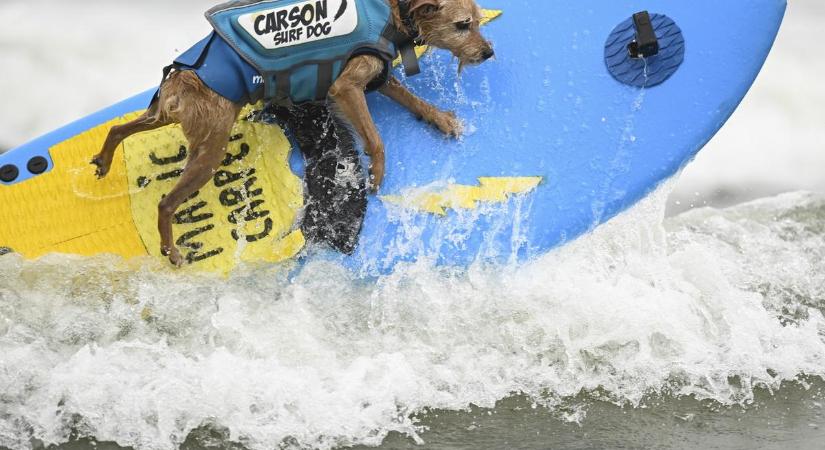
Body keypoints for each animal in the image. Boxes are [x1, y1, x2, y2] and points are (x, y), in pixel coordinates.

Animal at [91, 0, 490, 268]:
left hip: (165, 118)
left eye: (477, 20)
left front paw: (441, 120)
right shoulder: (346, 87)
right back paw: (171, 248)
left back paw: (104, 159)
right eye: (462, 24)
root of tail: (183, 80)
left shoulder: (378, 74)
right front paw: (377, 171)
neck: (394, 11)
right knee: (165, 203)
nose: (489, 52)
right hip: (208, 152)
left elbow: (412, 100)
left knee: (118, 127)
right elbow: (375, 139)